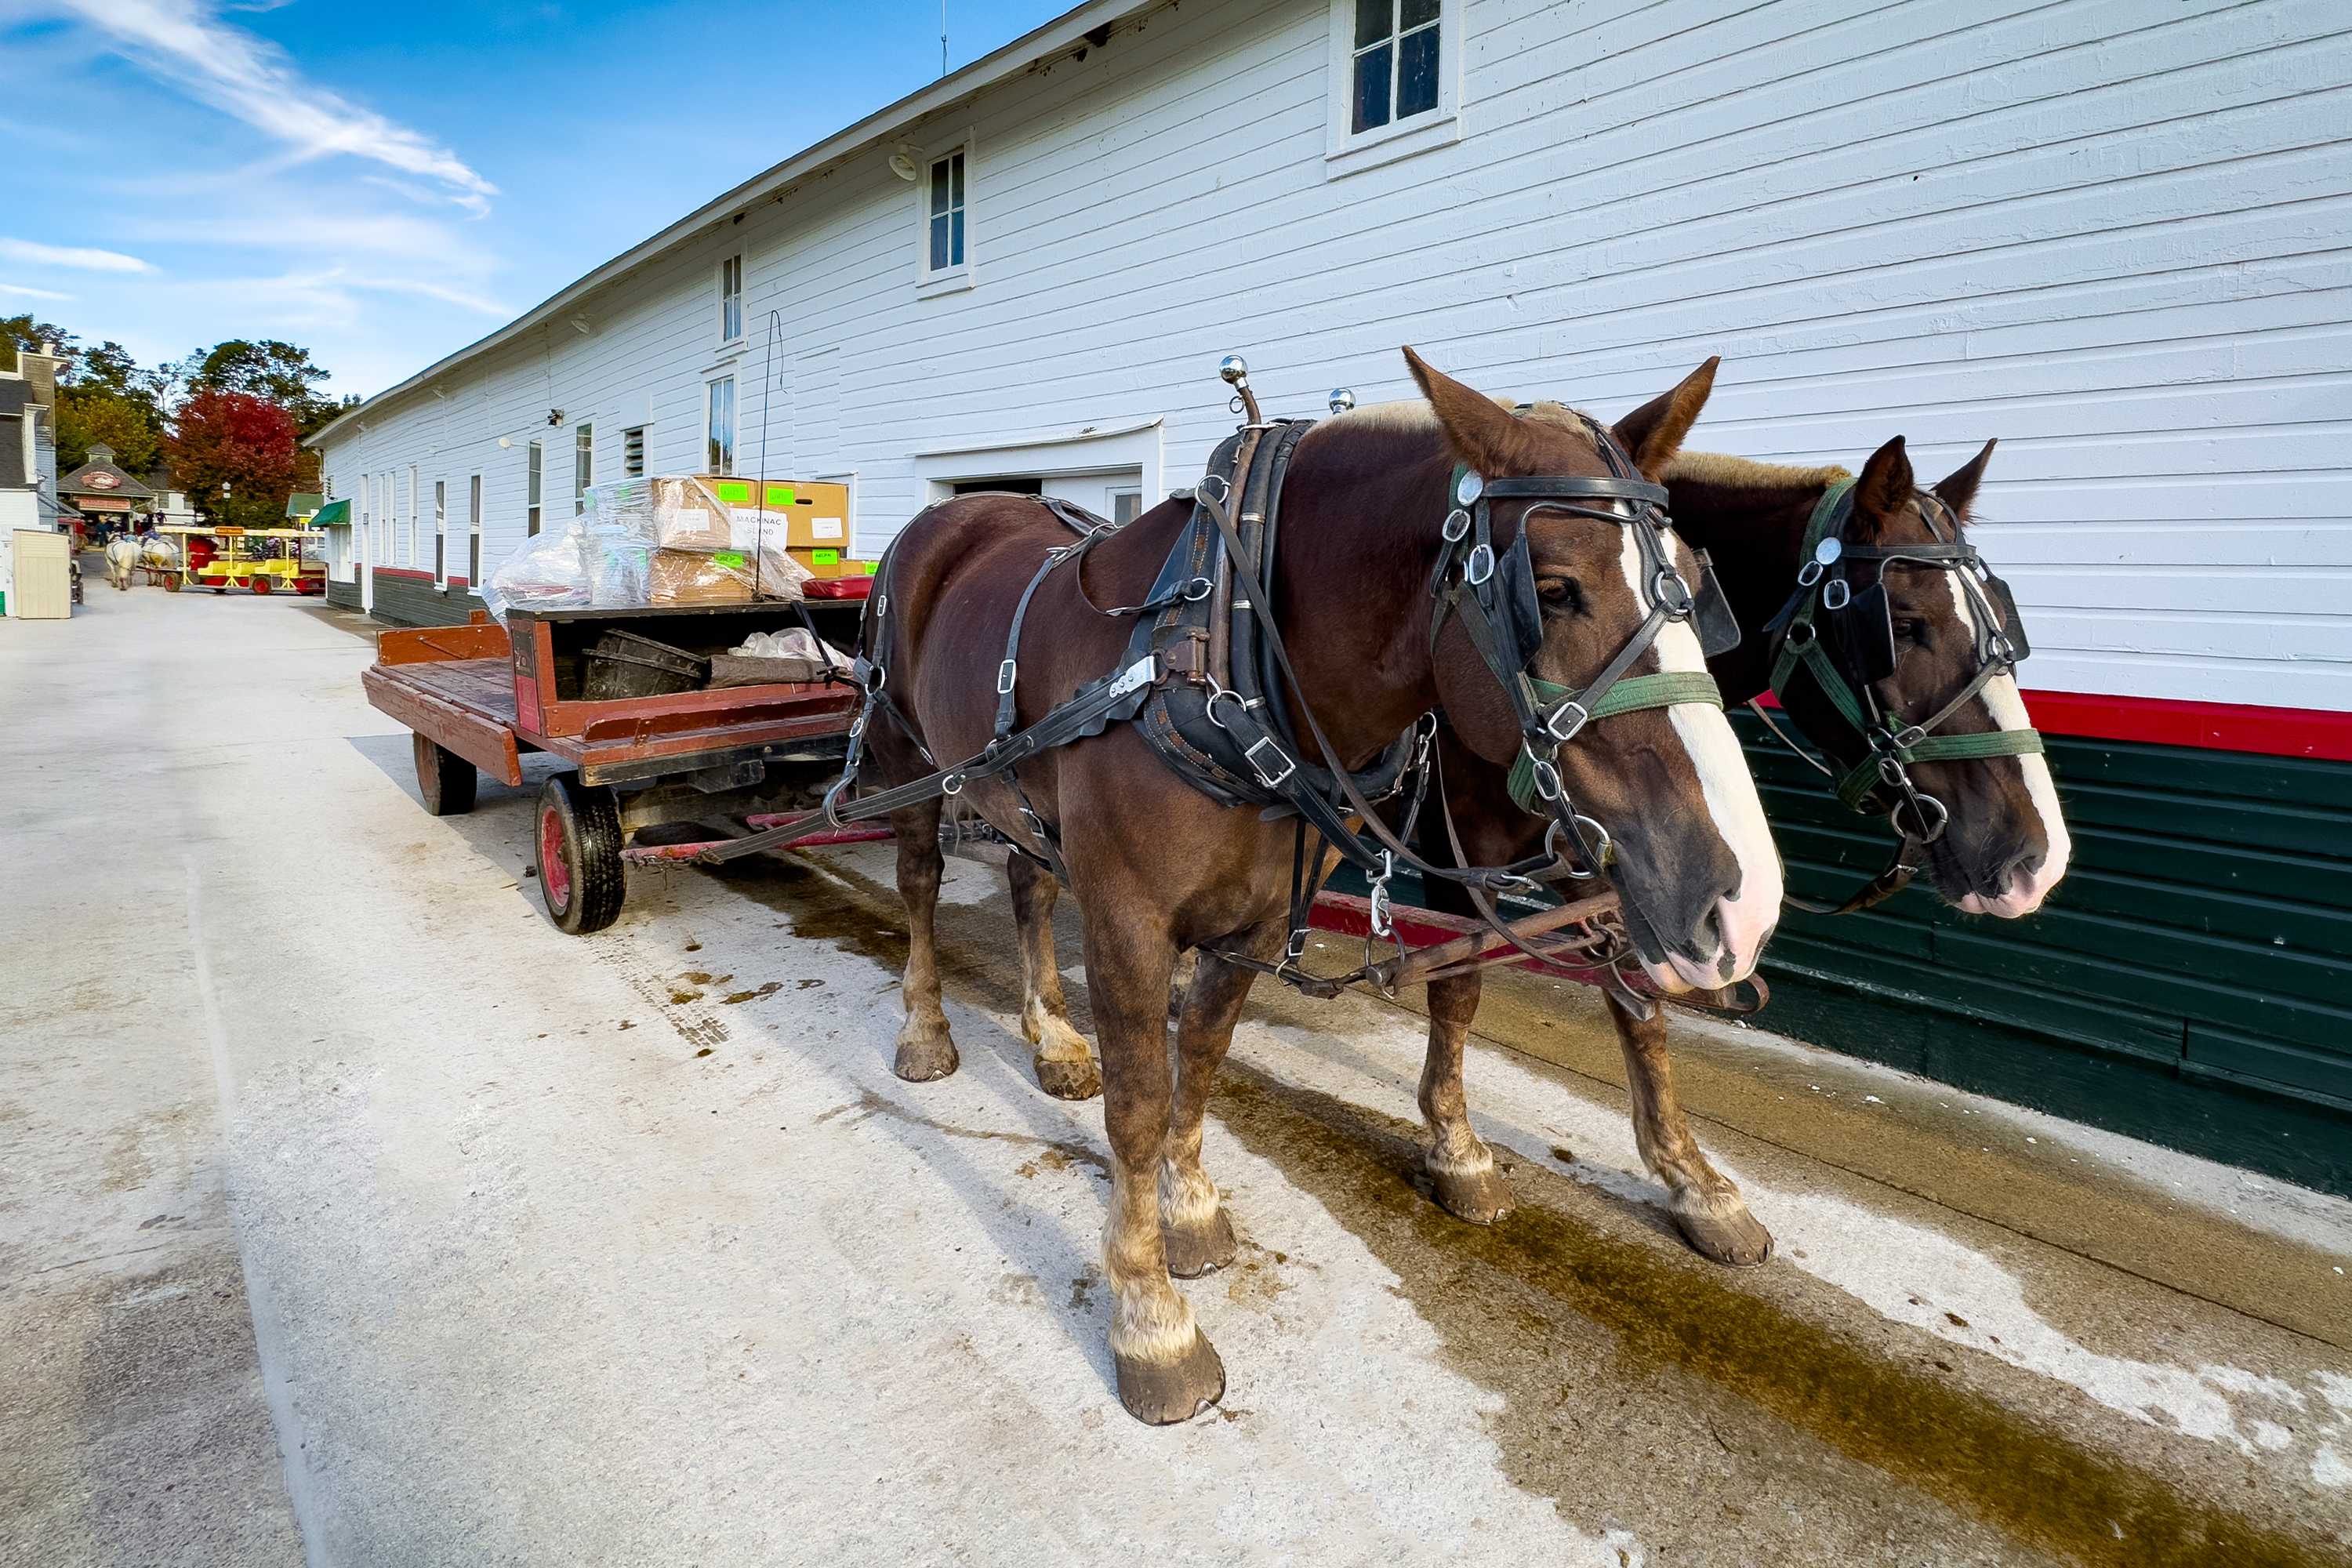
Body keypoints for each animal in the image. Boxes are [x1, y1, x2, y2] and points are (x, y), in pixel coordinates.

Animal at [859, 348, 1781, 1423]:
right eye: (1552, 589)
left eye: (1699, 589)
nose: (1746, 894)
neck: (1223, 642)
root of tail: (950, 517)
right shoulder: (1131, 918)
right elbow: (1139, 1102)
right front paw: (1151, 1317)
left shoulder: (1257, 918)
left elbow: (1203, 1056)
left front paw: (1189, 1208)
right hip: (910, 758)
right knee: (921, 881)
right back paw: (927, 1029)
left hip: (1018, 793)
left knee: (1027, 881)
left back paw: (1050, 1036)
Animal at [1401, 434, 2071, 1263]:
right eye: (1905, 624)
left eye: (2008, 622)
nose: (2038, 858)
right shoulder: (1456, 848)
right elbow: (1457, 985)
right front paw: (1455, 1148)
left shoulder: (1626, 864)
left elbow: (1641, 1007)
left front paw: (1693, 1180)